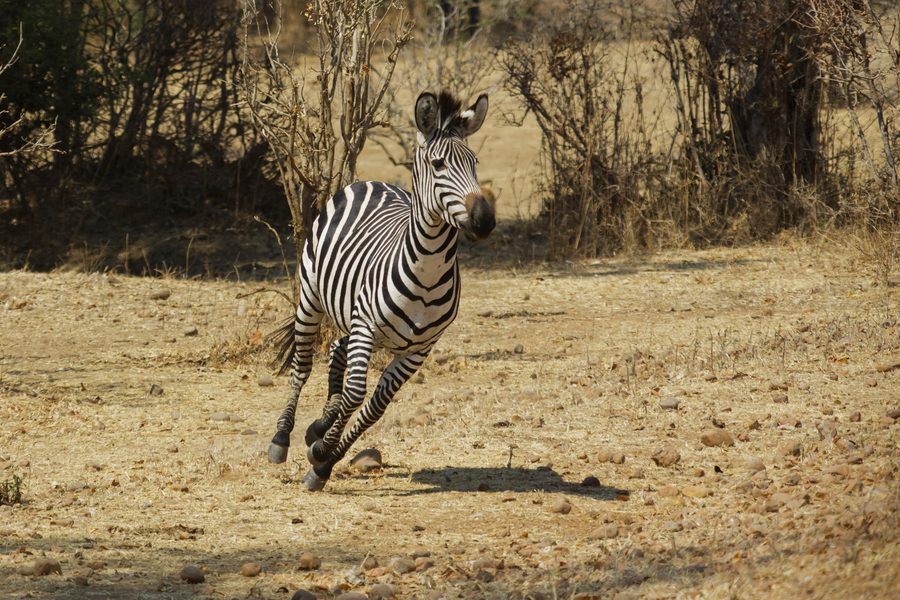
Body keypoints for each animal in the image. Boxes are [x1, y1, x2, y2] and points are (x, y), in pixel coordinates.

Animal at [267, 91, 495, 491]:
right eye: (438, 164)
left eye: (474, 163)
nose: (485, 220)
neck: (428, 271)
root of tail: (371, 182)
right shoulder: (367, 326)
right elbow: (356, 394)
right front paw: (321, 451)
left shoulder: (419, 350)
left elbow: (373, 408)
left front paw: (323, 459)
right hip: (313, 298)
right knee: (303, 365)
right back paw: (282, 437)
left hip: (358, 320)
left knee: (336, 349)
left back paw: (319, 426)